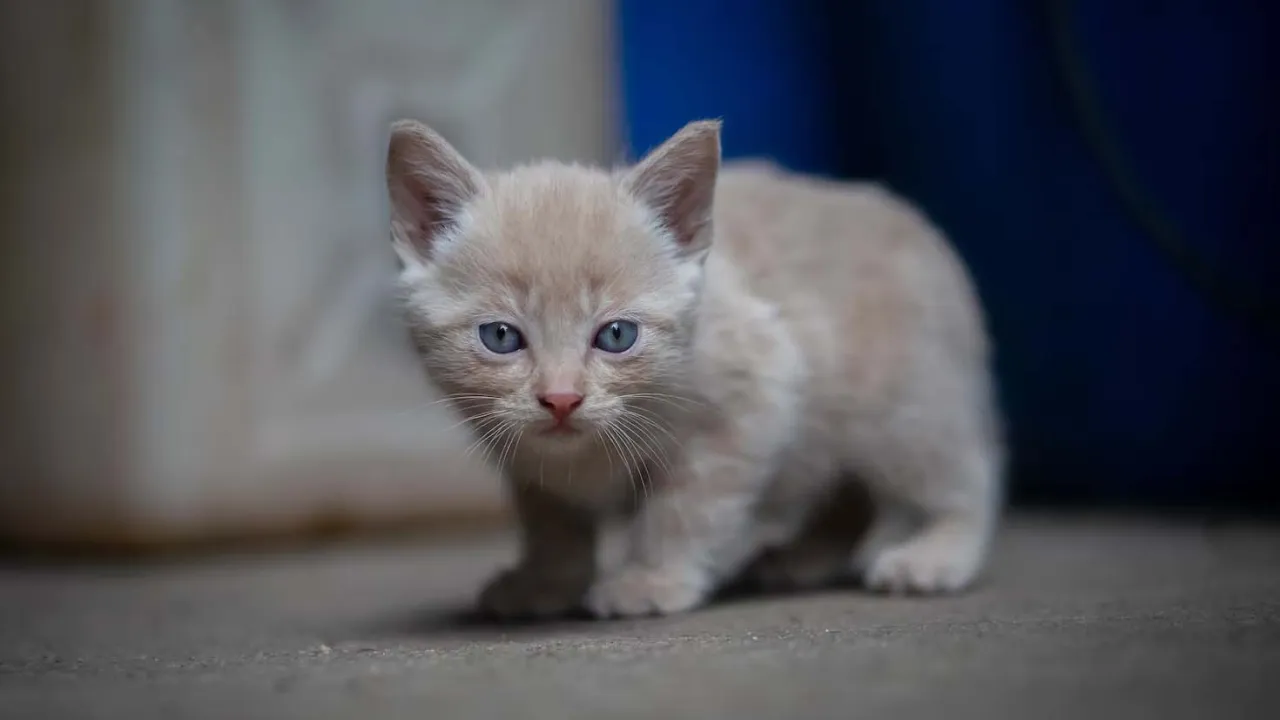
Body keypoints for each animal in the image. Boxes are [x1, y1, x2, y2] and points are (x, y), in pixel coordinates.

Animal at [384, 117, 1003, 617]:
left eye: (616, 335)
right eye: (501, 337)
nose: (561, 398)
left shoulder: (758, 391)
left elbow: (685, 508)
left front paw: (649, 580)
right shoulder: (525, 452)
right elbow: (553, 520)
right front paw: (546, 581)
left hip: (905, 407)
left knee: (966, 471)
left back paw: (936, 554)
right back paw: (801, 558)